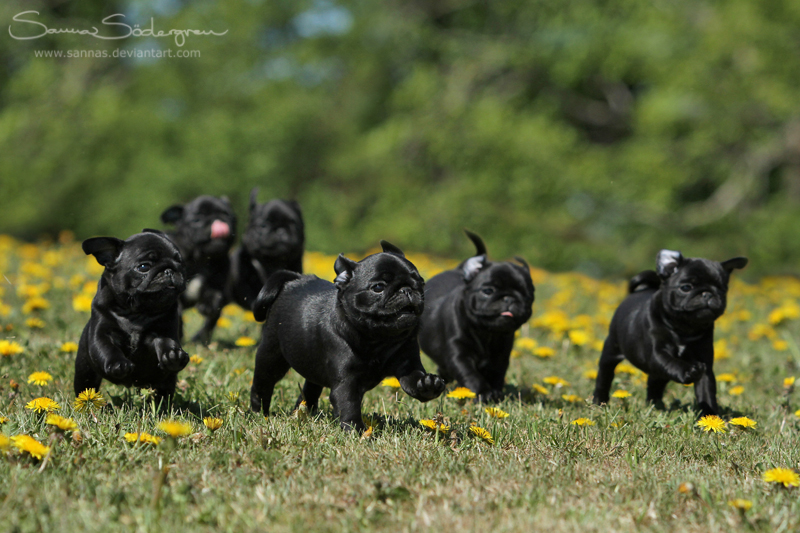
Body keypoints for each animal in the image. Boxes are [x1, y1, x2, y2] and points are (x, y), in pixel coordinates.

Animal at [73, 229, 189, 400]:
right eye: (143, 267)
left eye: (180, 262)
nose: (169, 269)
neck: (137, 312)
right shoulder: (102, 332)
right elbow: (106, 347)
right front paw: (118, 363)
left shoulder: (162, 331)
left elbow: (167, 341)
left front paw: (173, 354)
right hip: (85, 372)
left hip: (164, 381)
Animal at [160, 193, 236, 342]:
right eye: (196, 220)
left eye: (227, 215)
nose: (216, 220)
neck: (200, 260)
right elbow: (177, 312)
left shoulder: (219, 279)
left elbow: (214, 293)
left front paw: (208, 304)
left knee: (211, 321)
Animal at [250, 243, 446, 430]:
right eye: (378, 287)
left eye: (420, 283)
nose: (406, 289)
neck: (379, 339)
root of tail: (294, 280)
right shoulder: (346, 381)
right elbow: (348, 404)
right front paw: (356, 430)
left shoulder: (407, 364)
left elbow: (414, 379)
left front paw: (428, 385)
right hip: (271, 356)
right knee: (262, 385)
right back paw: (259, 414)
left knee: (311, 387)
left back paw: (305, 412)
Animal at [416, 231, 536, 402]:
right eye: (488, 291)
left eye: (528, 296)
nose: (509, 298)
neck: (487, 332)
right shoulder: (459, 354)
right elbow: (470, 374)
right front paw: (483, 393)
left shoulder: (500, 356)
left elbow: (497, 375)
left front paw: (496, 394)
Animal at [592, 249, 748, 416]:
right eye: (686, 287)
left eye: (722, 290)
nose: (707, 293)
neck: (684, 329)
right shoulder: (657, 354)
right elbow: (672, 362)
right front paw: (688, 371)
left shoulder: (705, 364)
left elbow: (706, 391)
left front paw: (709, 415)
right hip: (611, 351)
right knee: (604, 376)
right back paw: (599, 402)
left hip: (657, 375)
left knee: (655, 384)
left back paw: (655, 405)